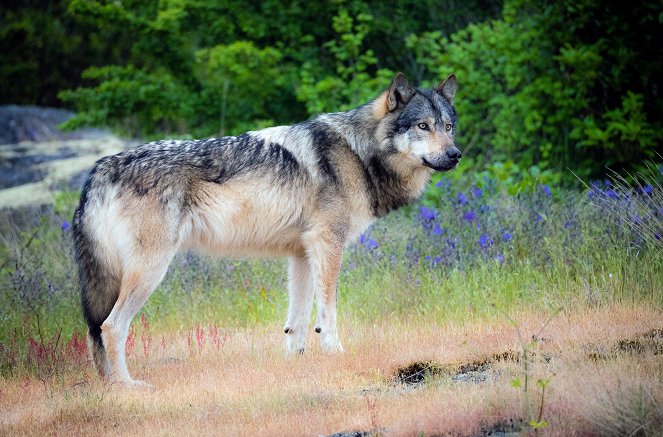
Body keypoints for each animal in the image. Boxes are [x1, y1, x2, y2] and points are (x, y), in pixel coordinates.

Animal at [70, 72, 460, 384]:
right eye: (422, 126)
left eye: (448, 126)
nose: (456, 155)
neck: (358, 153)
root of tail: (101, 168)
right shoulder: (328, 243)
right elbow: (328, 311)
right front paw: (335, 353)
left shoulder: (302, 253)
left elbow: (297, 321)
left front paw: (295, 365)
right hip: (149, 271)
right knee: (111, 327)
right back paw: (128, 386)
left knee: (96, 332)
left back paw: (108, 387)